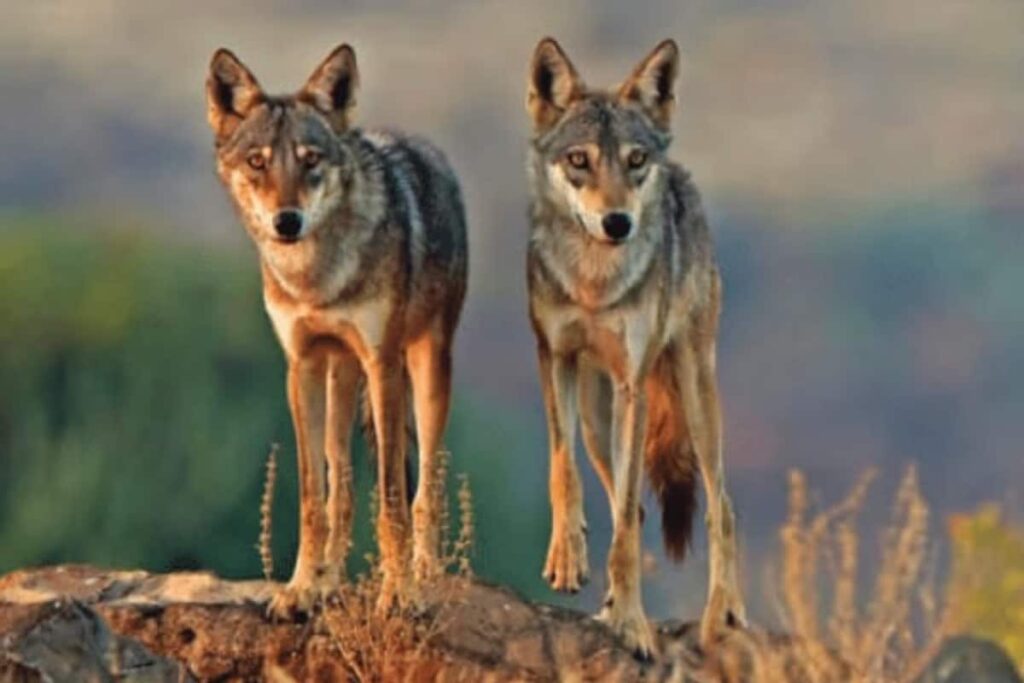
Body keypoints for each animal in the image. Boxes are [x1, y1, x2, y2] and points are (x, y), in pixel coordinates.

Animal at [205, 44, 468, 617]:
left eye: (310, 161)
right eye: (258, 162)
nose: (287, 221)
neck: (317, 278)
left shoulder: (382, 363)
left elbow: (391, 496)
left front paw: (398, 593)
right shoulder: (301, 365)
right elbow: (312, 496)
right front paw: (303, 588)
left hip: (426, 370)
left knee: (425, 488)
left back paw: (426, 572)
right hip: (338, 378)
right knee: (341, 489)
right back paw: (329, 583)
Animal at [525, 37, 746, 656]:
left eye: (635, 160)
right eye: (579, 161)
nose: (617, 222)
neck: (595, 283)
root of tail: (683, 177)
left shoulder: (633, 385)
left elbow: (623, 521)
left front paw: (633, 625)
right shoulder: (554, 360)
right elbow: (563, 471)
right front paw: (567, 560)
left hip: (694, 396)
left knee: (721, 506)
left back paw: (723, 615)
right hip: (597, 419)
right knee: (642, 506)